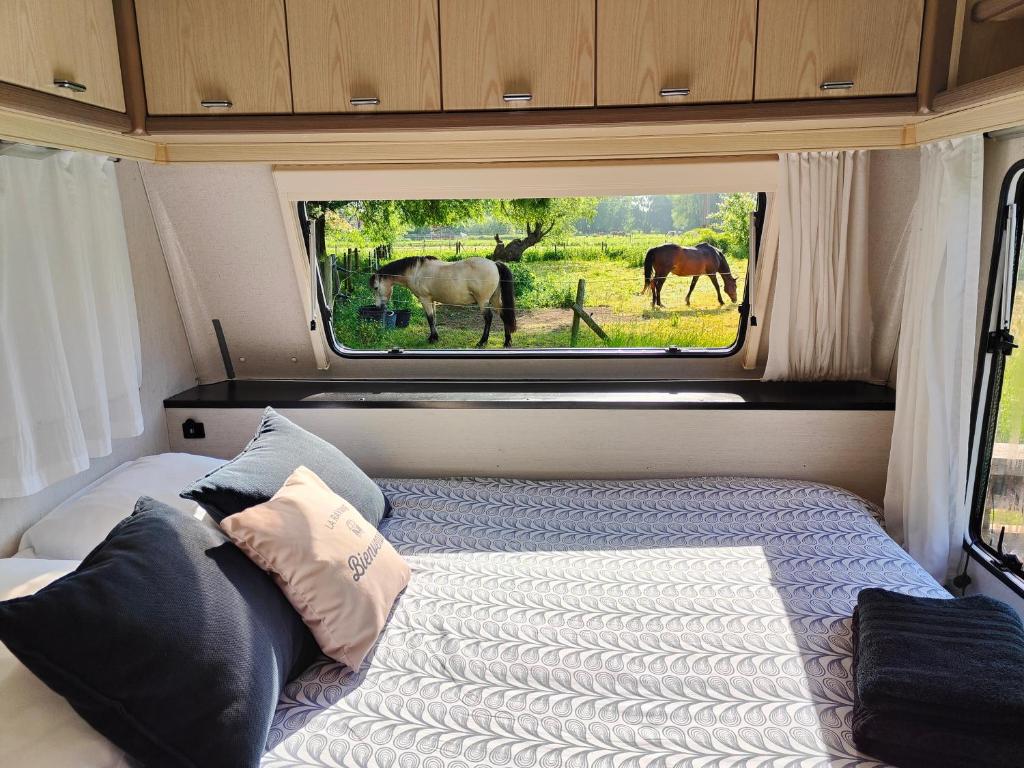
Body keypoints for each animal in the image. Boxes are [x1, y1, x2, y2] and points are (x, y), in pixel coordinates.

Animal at [368, 257, 516, 348]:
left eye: (376, 288)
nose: (378, 307)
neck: (416, 271)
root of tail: (494, 263)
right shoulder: (432, 300)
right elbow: (434, 319)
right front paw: (435, 337)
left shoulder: (425, 299)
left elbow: (429, 318)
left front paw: (432, 339)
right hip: (494, 300)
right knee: (504, 315)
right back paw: (507, 342)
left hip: (483, 301)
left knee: (488, 318)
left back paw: (482, 342)